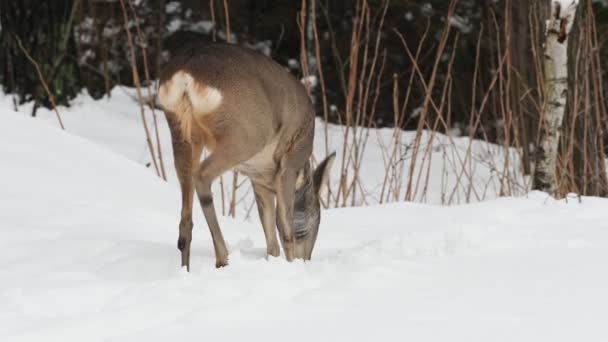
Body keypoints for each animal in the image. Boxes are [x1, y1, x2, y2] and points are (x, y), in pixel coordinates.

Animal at [157, 42, 334, 272]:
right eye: (315, 221)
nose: (306, 260)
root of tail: (185, 71)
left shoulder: (258, 178)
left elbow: (271, 240)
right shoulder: (289, 162)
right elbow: (283, 227)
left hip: (182, 132)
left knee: (185, 220)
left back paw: (187, 270)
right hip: (245, 135)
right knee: (202, 176)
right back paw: (222, 258)